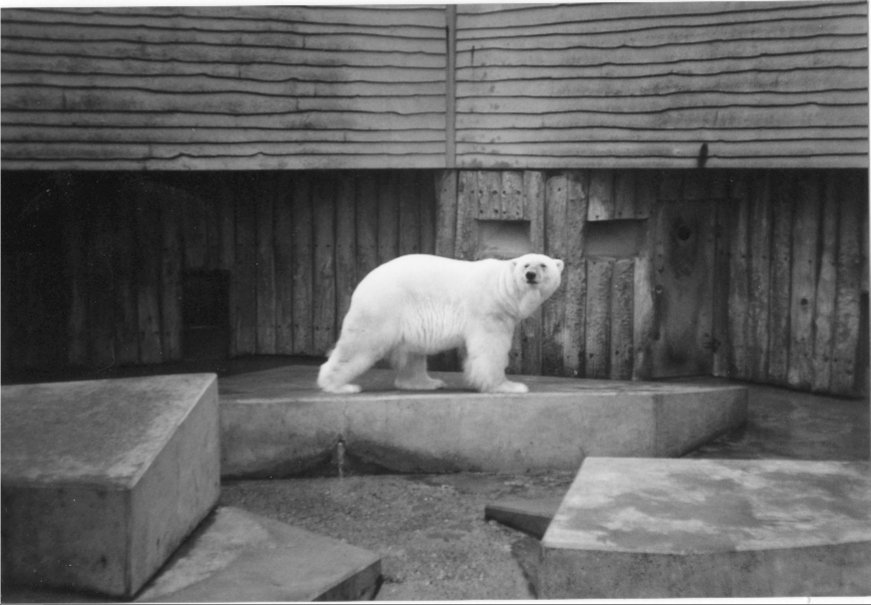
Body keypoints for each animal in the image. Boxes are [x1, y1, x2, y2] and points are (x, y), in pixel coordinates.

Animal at [317, 253, 564, 394]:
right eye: (525, 265)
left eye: (543, 265)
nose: (531, 275)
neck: (502, 288)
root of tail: (363, 283)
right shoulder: (488, 310)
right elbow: (490, 347)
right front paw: (508, 386)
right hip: (383, 307)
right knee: (361, 343)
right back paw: (338, 385)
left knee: (413, 354)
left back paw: (426, 382)